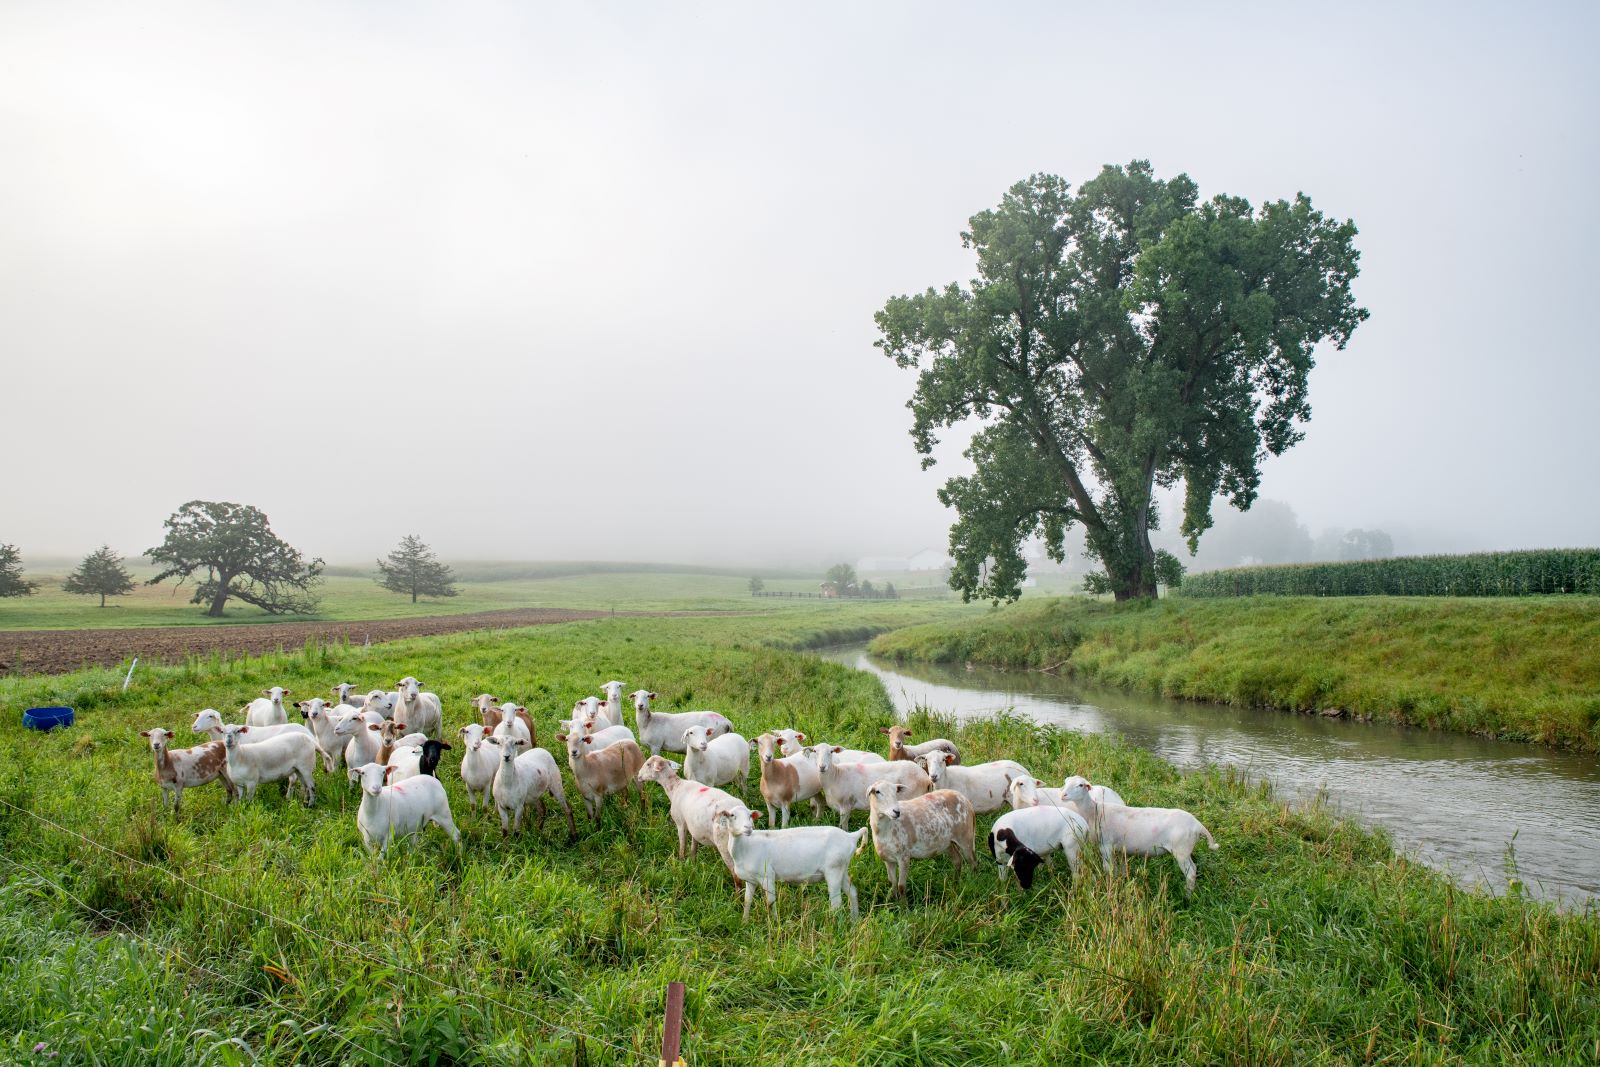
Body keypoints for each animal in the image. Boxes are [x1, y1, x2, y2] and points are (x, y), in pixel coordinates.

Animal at [713, 806, 870, 921]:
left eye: (750, 816)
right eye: (732, 815)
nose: (748, 828)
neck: (745, 847)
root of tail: (851, 836)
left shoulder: (767, 876)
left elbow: (770, 901)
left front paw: (774, 922)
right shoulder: (750, 880)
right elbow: (747, 901)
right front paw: (744, 922)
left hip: (833, 869)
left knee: (836, 902)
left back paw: (833, 924)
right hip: (842, 868)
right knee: (852, 892)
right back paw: (854, 920)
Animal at [1062, 777, 1209, 895]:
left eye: (1081, 785)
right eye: (1066, 782)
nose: (1063, 795)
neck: (1094, 811)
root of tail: (1197, 825)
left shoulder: (1106, 845)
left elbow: (1107, 868)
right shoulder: (1118, 849)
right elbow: (1118, 869)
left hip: (1181, 850)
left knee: (1190, 873)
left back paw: (1187, 896)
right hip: (1185, 851)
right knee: (1194, 868)